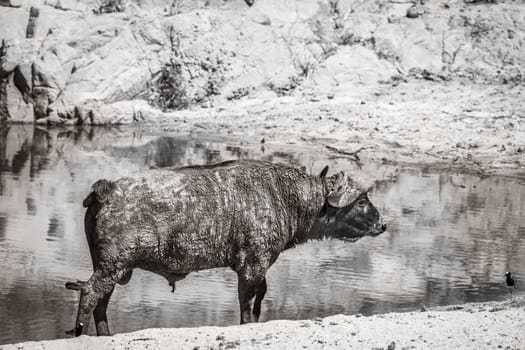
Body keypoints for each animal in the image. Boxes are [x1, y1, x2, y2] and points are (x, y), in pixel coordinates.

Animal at [65, 160, 384, 334]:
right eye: (362, 201)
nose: (382, 224)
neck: (282, 195)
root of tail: (105, 190)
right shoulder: (251, 266)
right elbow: (246, 303)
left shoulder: (258, 267)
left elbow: (260, 296)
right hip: (110, 268)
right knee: (90, 294)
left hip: (112, 271)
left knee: (100, 303)